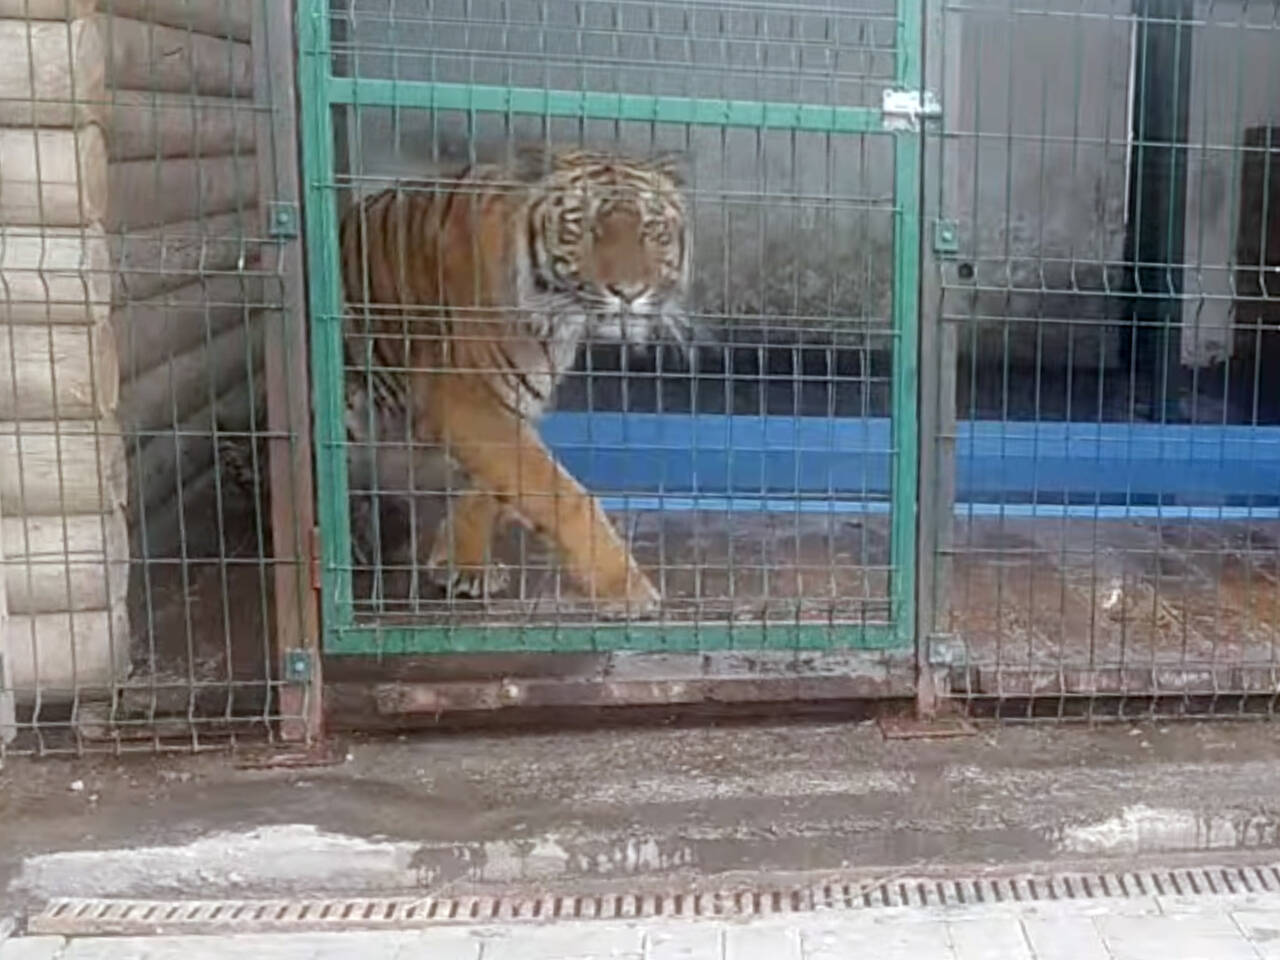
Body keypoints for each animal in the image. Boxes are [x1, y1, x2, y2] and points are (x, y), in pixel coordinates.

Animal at [335, 149, 691, 616]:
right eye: (586, 228)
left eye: (651, 229)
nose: (629, 292)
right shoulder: (467, 398)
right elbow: (562, 495)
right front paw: (627, 589)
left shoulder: (512, 399)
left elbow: (493, 486)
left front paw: (463, 564)